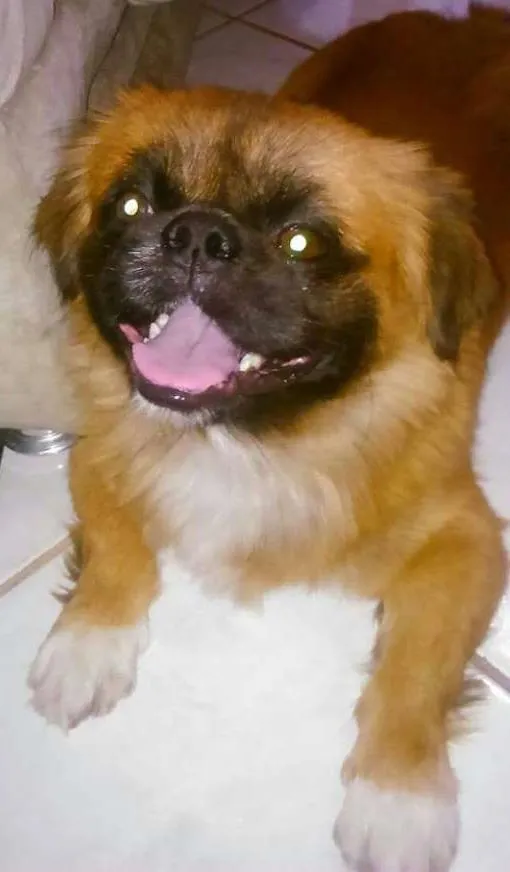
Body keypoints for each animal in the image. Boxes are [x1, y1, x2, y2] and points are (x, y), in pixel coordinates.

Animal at [29, 7, 509, 871]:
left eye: (300, 243)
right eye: (130, 208)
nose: (194, 235)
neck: (240, 438)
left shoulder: (468, 539)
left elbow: (415, 670)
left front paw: (399, 797)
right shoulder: (96, 452)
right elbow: (115, 549)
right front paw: (85, 645)